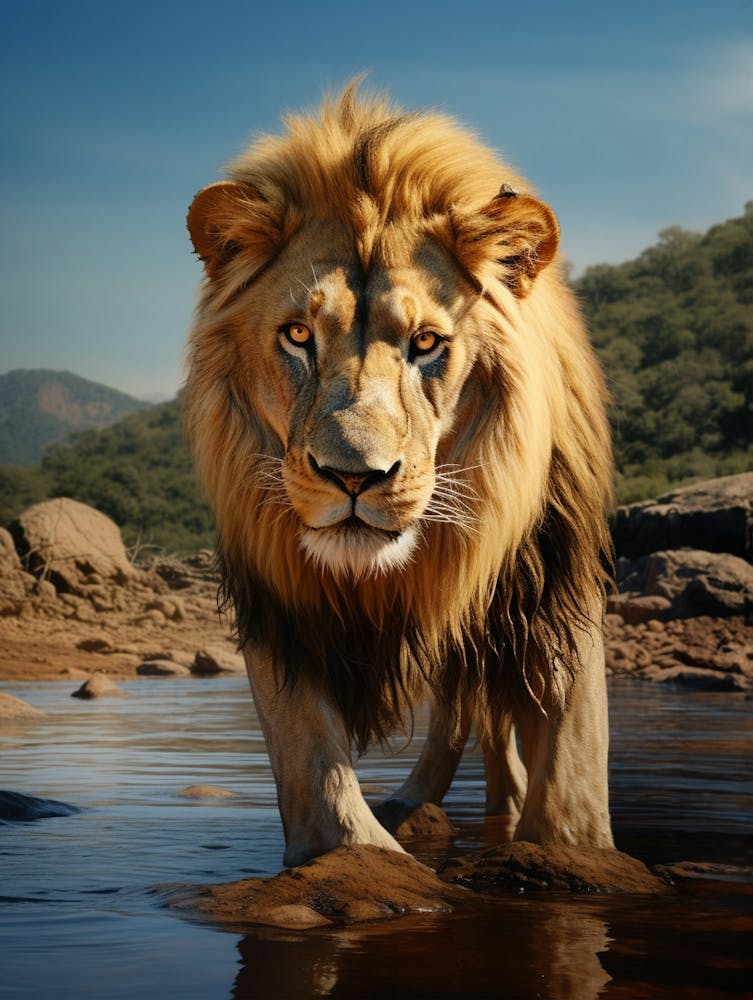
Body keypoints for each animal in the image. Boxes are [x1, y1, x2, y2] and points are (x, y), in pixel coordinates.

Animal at [185, 82, 614, 867]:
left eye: (425, 343)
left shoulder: (552, 585)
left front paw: (563, 850)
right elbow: (320, 781)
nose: (353, 477)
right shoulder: (278, 608)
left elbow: (571, 784)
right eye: (298, 335)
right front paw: (367, 852)